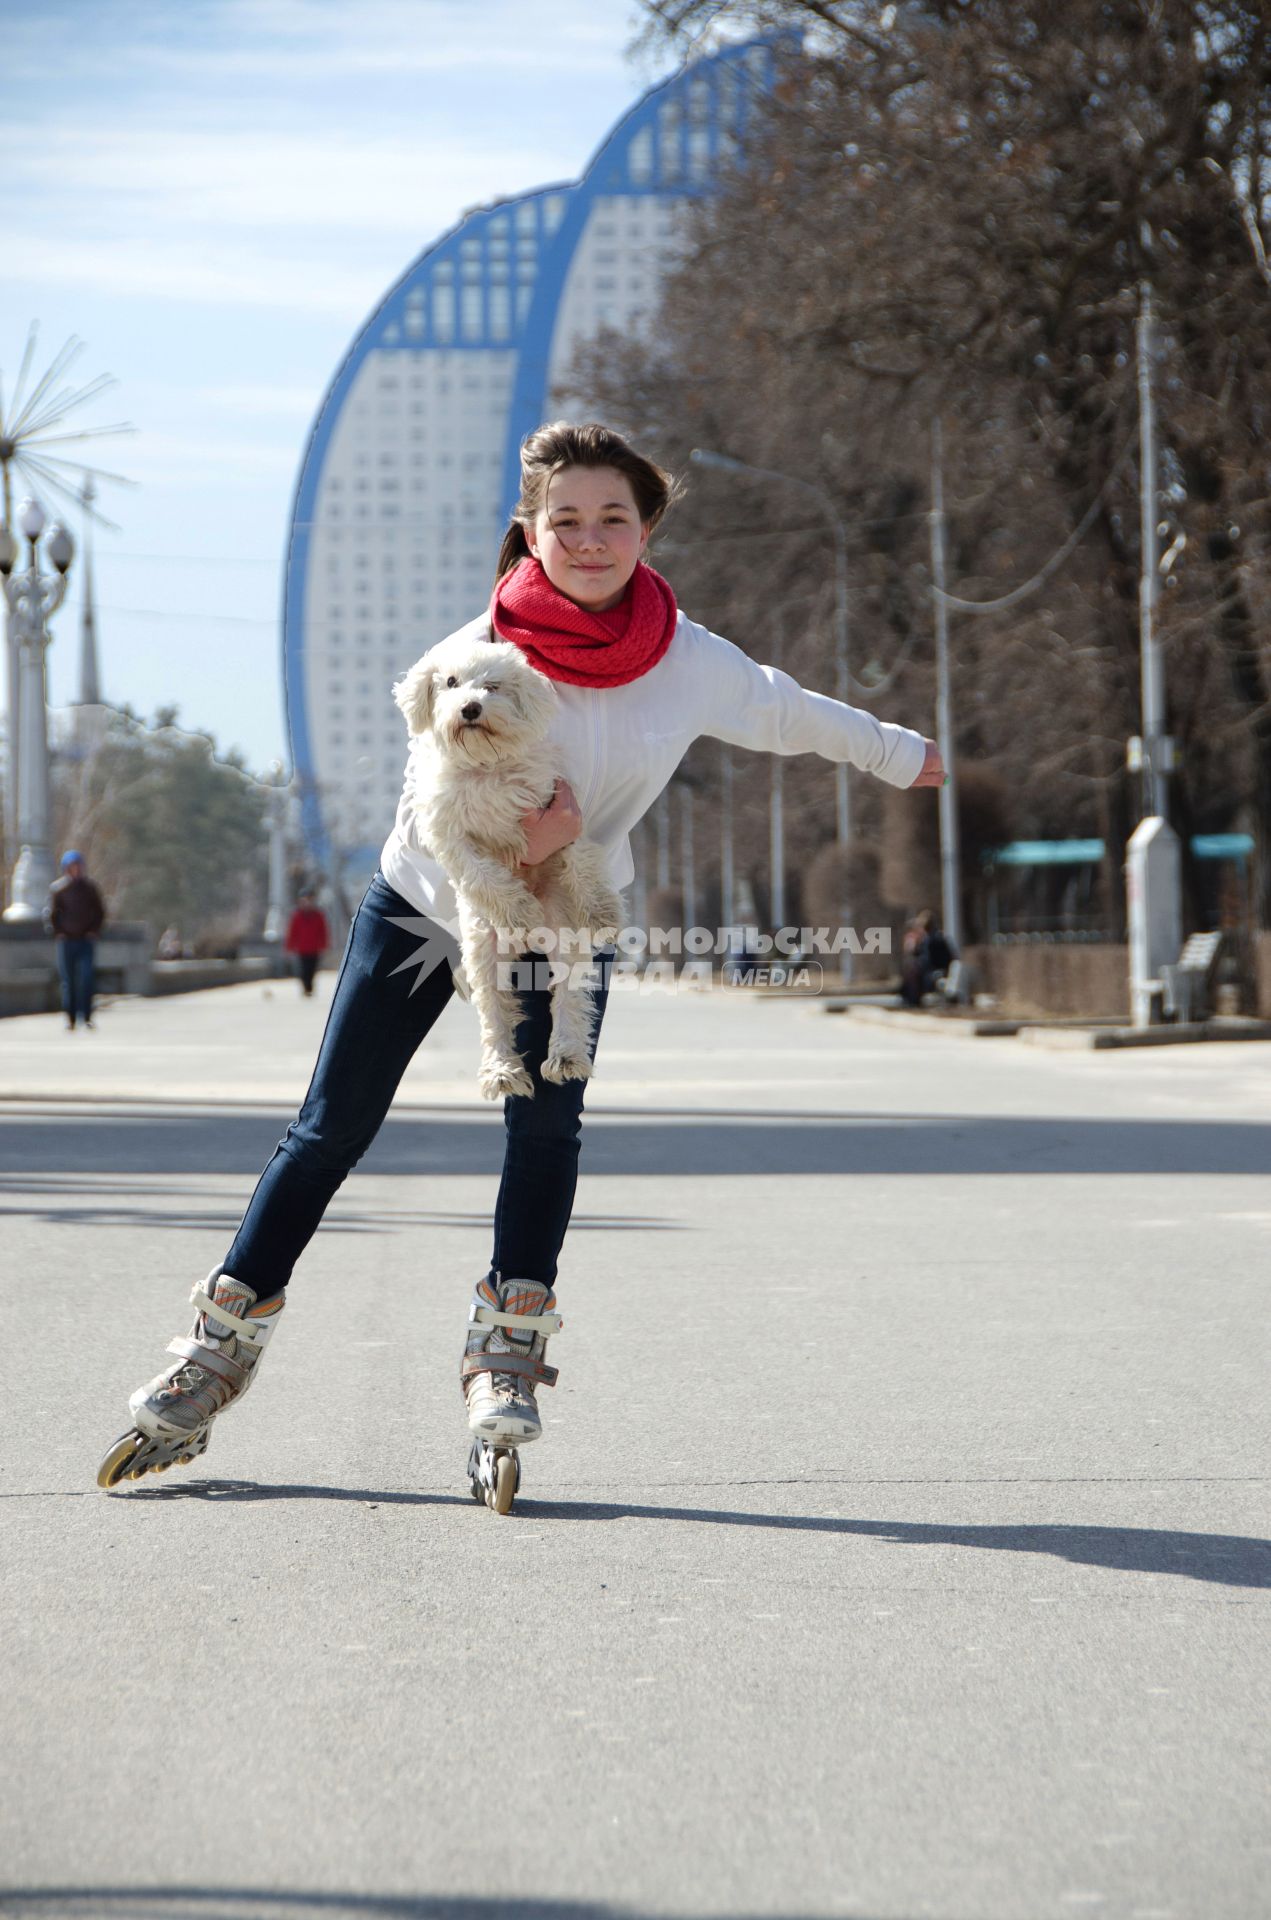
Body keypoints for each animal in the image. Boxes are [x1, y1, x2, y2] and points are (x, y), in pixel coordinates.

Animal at [393, 637, 622, 1105]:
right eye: (450, 682)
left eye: (493, 686)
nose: (471, 707)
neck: (485, 767)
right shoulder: (448, 833)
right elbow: (479, 871)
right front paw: (518, 909)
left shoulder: (558, 808)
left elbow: (580, 863)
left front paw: (602, 910)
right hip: (483, 948)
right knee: (495, 1013)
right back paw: (501, 1071)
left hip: (565, 935)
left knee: (569, 997)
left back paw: (566, 1056)